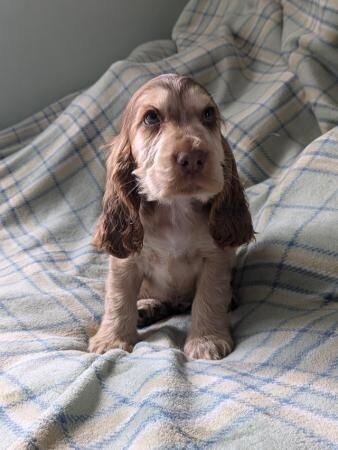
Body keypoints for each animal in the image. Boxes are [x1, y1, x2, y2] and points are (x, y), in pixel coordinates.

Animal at [88, 75, 254, 360]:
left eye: (208, 114)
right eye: (151, 118)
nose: (193, 157)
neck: (175, 210)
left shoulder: (215, 258)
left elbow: (209, 297)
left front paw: (206, 340)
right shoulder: (126, 262)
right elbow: (118, 299)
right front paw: (111, 340)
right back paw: (146, 307)